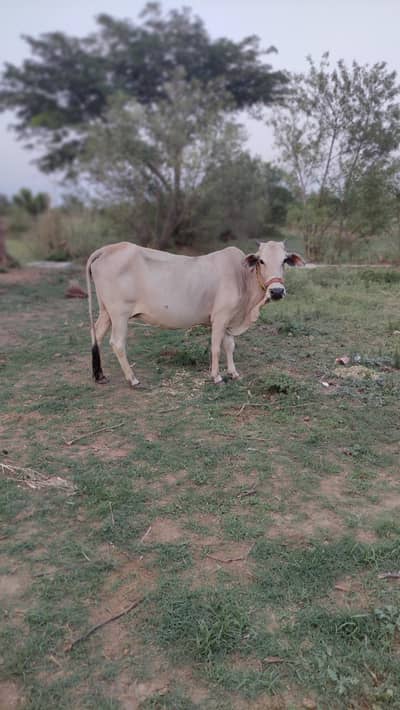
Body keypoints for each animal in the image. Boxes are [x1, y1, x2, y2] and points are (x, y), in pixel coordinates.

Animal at [86, 241, 305, 387]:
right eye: (261, 261)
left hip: (106, 312)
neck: (242, 277)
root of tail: (108, 248)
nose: (277, 291)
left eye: (284, 260)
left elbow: (230, 346)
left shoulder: (229, 320)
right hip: (120, 314)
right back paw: (132, 379)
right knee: (117, 343)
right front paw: (216, 376)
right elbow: (216, 348)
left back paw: (99, 375)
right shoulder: (220, 318)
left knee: (96, 334)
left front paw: (233, 373)